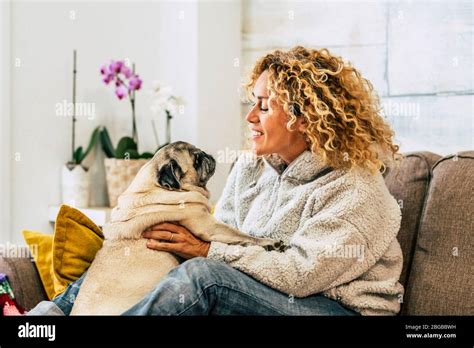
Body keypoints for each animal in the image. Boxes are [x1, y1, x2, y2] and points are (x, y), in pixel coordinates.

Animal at [70, 141, 282, 316]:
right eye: (196, 159)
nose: (207, 155)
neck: (153, 187)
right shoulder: (210, 226)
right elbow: (241, 235)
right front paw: (269, 242)